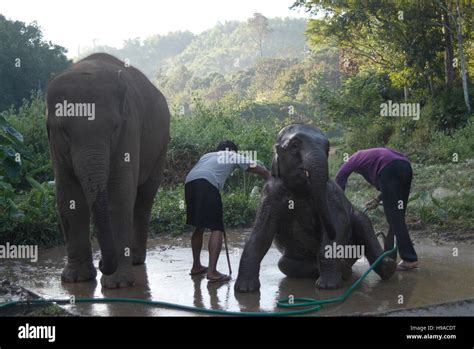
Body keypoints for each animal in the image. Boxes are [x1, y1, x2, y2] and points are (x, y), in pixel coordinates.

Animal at [47, 53, 169, 288]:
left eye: (114, 128)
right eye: (65, 131)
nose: (102, 261)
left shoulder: (129, 128)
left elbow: (119, 192)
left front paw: (118, 285)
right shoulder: (54, 144)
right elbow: (67, 195)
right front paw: (75, 280)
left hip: (161, 145)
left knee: (144, 197)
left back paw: (135, 259)